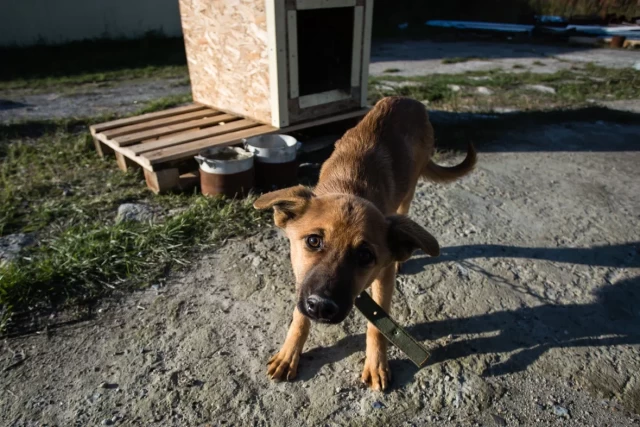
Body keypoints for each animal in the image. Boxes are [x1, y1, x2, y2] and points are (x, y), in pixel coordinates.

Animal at [254, 97, 476, 392]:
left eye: (365, 255)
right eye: (313, 241)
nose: (322, 307)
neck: (351, 186)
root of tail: (407, 99)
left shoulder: (383, 277)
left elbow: (377, 327)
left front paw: (376, 364)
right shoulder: (303, 279)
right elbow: (299, 315)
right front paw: (289, 354)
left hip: (410, 189)